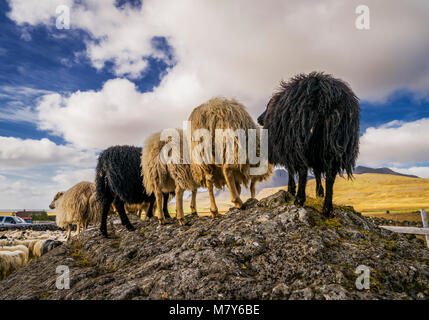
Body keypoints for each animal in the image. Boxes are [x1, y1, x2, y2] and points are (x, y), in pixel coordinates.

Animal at [258, 72, 358, 218]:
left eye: (267, 106)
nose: (259, 119)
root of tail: (323, 91)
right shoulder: (317, 152)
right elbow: (317, 172)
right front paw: (319, 193)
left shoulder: (287, 148)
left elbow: (291, 170)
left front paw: (291, 190)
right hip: (333, 142)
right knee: (330, 176)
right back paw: (327, 208)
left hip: (298, 140)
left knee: (303, 169)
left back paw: (300, 199)